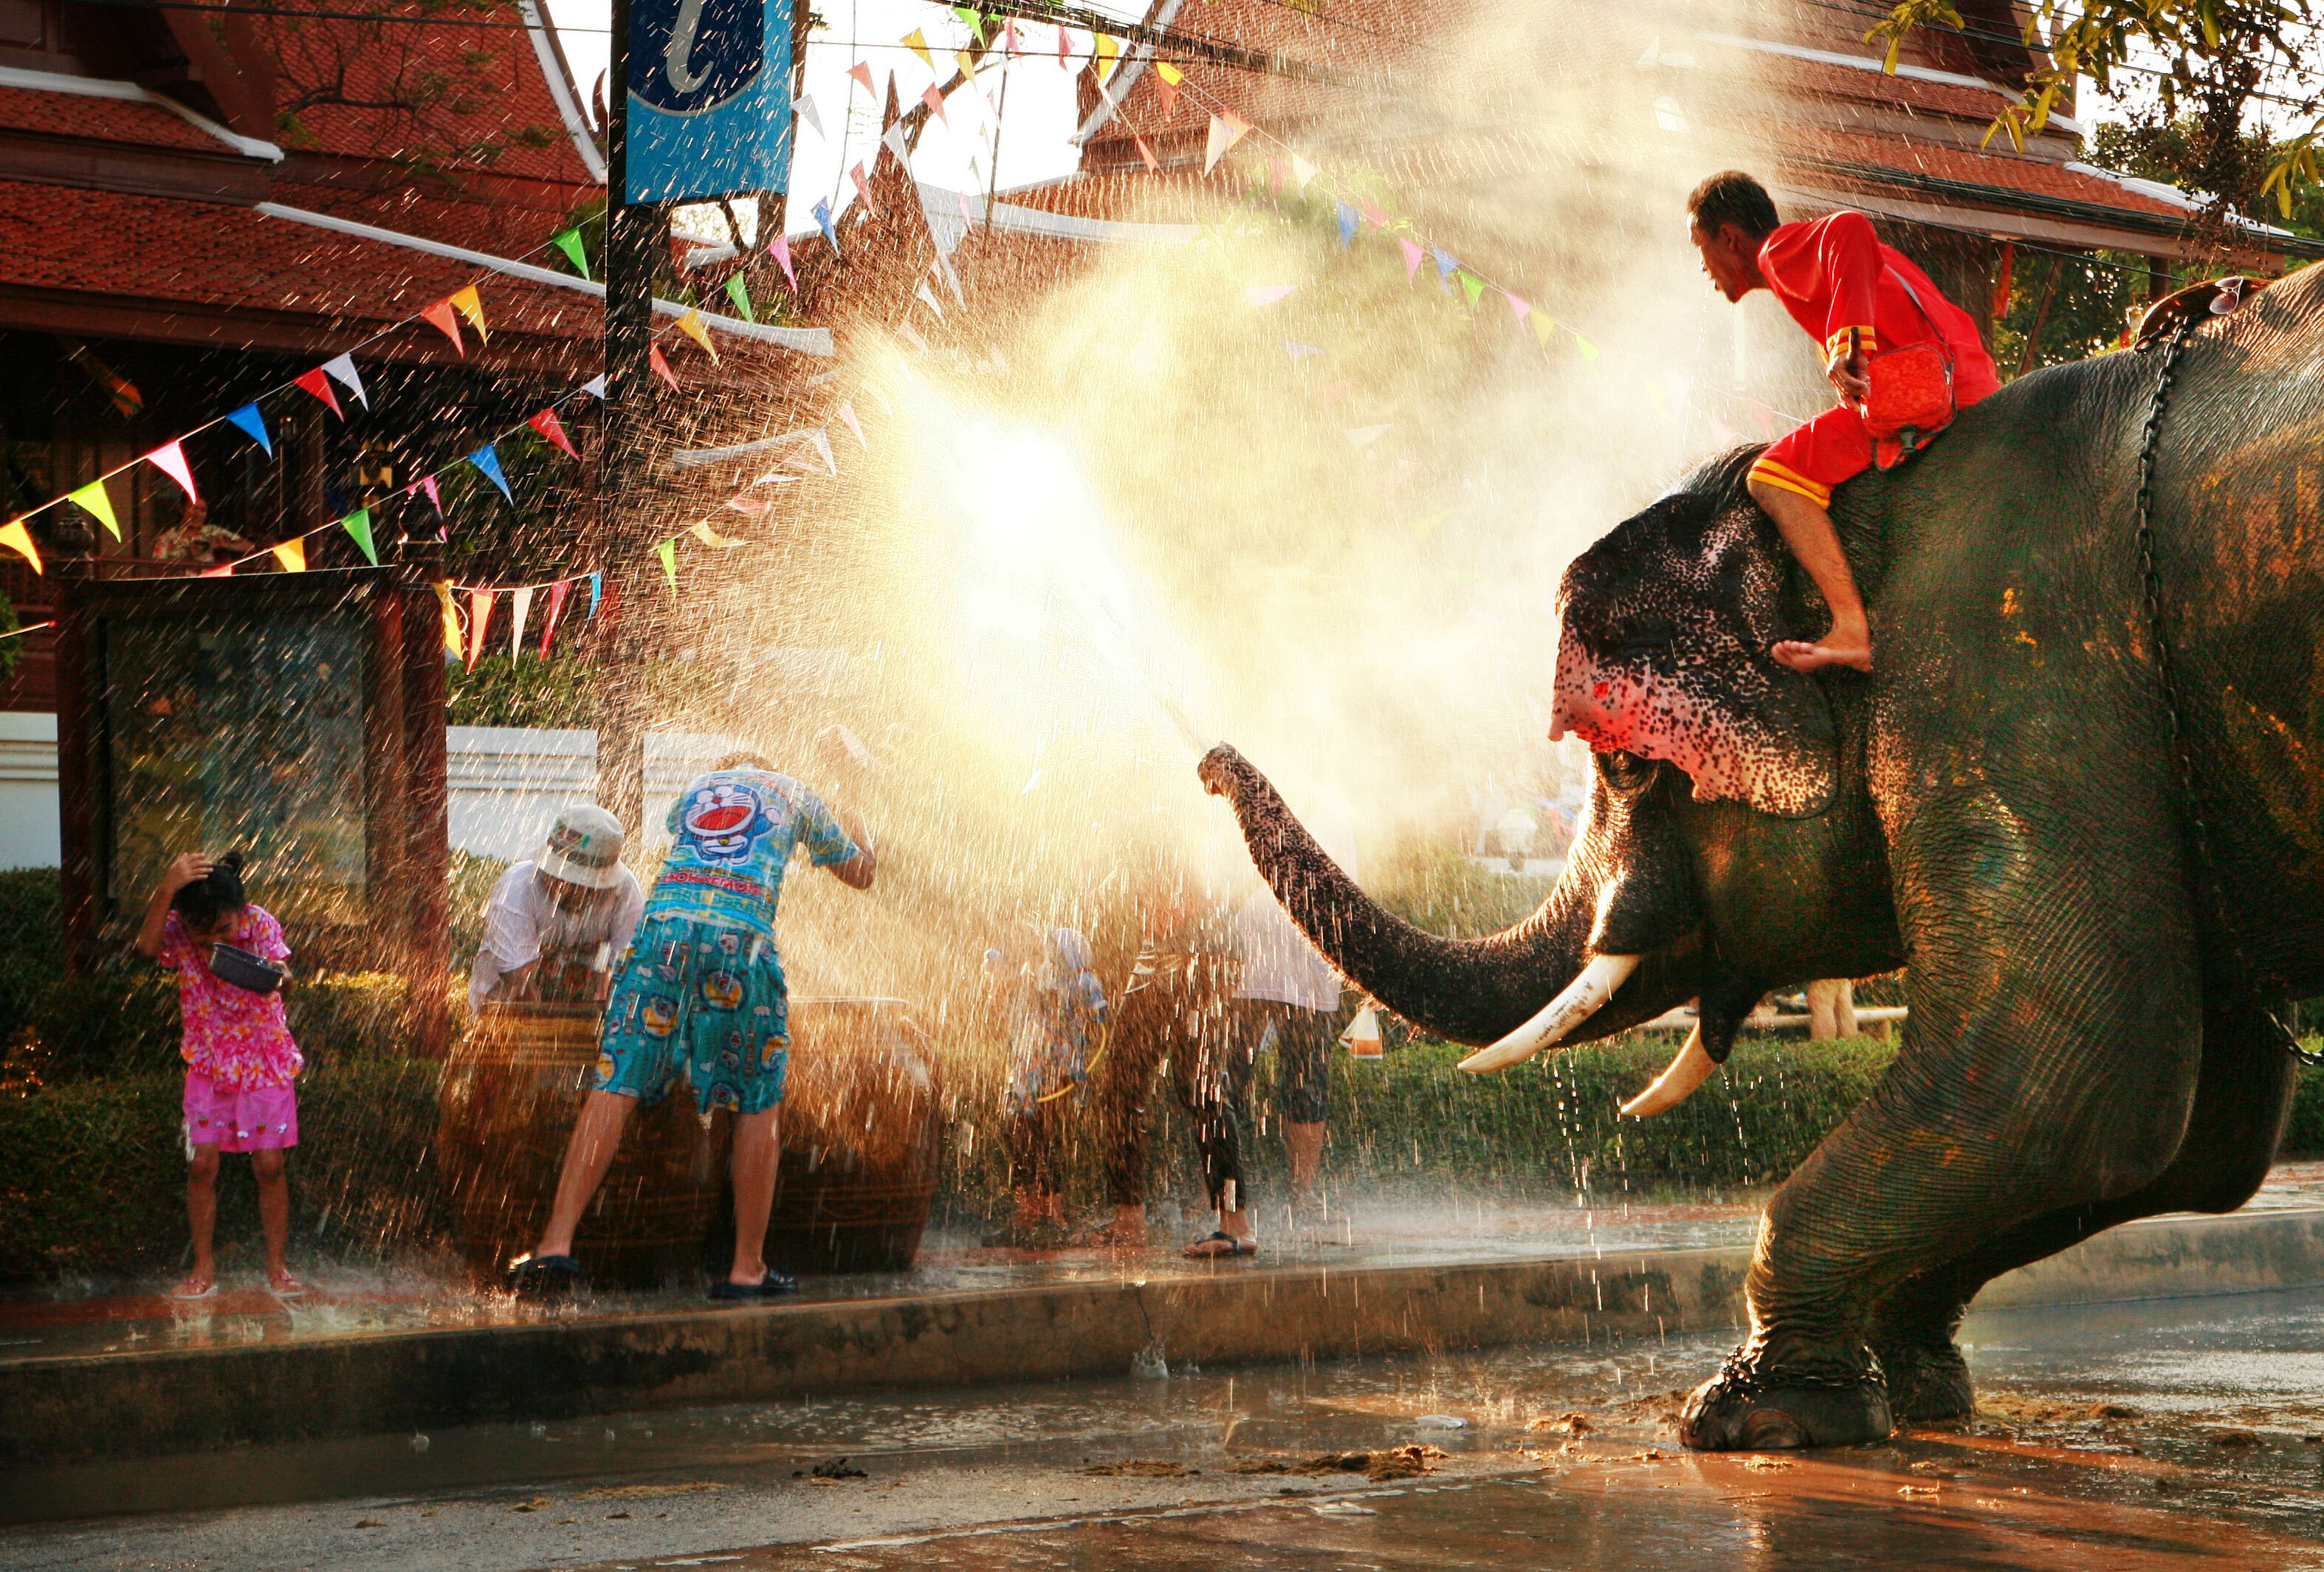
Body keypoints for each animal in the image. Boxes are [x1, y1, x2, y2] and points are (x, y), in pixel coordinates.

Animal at [1199, 267, 2324, 1451]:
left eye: (1626, 766)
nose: (1207, 760)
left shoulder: (2012, 672)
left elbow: (2069, 1081)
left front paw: (1750, 1417)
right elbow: (2202, 1128)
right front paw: (1913, 1389)